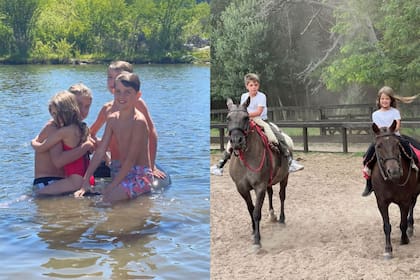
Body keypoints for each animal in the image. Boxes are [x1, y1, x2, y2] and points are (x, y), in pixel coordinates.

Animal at [225, 97, 290, 248]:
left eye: (246, 118)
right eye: (228, 118)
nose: (236, 141)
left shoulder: (259, 187)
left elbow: (256, 212)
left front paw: (257, 241)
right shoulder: (242, 188)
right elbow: (250, 209)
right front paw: (253, 231)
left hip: (285, 177)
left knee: (281, 195)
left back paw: (281, 219)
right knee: (271, 193)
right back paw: (272, 215)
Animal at [370, 120, 420, 258]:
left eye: (397, 144)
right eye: (379, 146)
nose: (394, 171)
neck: (392, 182)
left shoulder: (404, 201)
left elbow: (403, 223)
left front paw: (404, 239)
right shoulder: (381, 203)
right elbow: (387, 226)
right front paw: (388, 249)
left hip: (415, 193)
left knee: (412, 206)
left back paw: (410, 228)